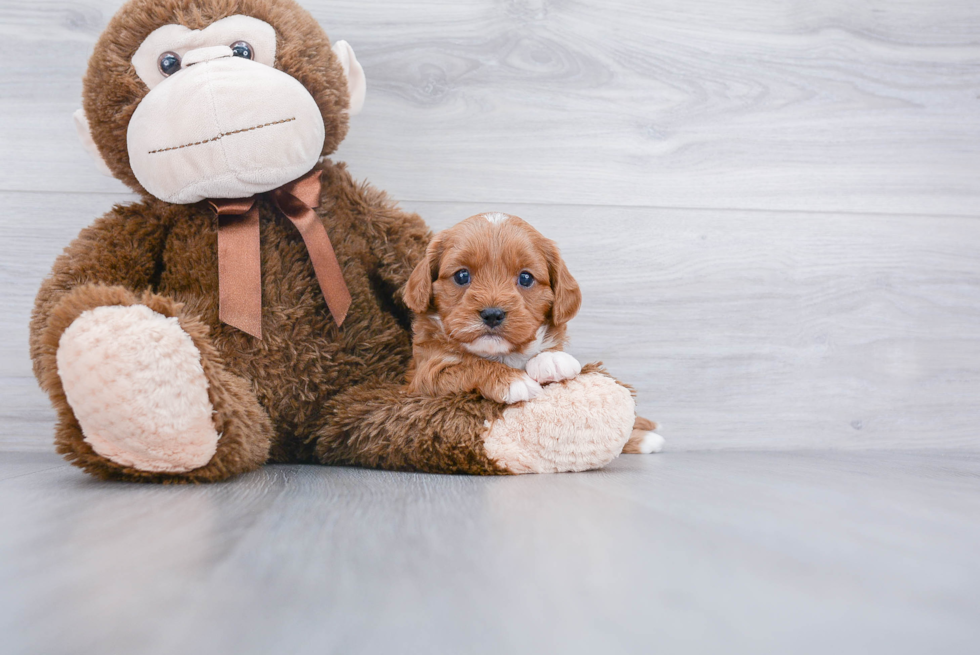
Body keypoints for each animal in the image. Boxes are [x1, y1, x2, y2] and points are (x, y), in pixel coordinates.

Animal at [404, 213, 584, 404]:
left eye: (526, 278)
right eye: (462, 276)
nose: (492, 315)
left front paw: (550, 358)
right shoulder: (425, 376)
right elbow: (468, 365)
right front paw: (512, 380)